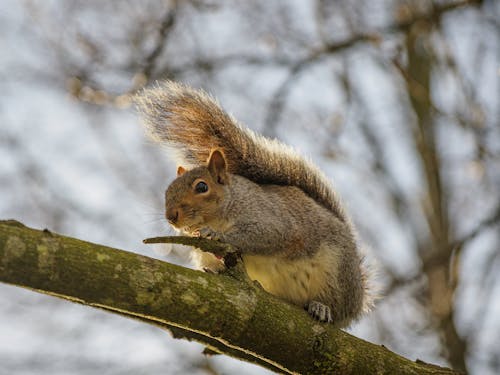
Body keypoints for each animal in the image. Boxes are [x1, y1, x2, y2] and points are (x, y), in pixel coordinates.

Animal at [135, 81, 374, 326]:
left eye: (202, 187)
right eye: (167, 190)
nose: (171, 216)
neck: (228, 206)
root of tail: (359, 298)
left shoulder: (269, 218)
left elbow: (265, 235)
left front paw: (215, 235)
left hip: (337, 274)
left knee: (336, 309)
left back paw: (322, 307)